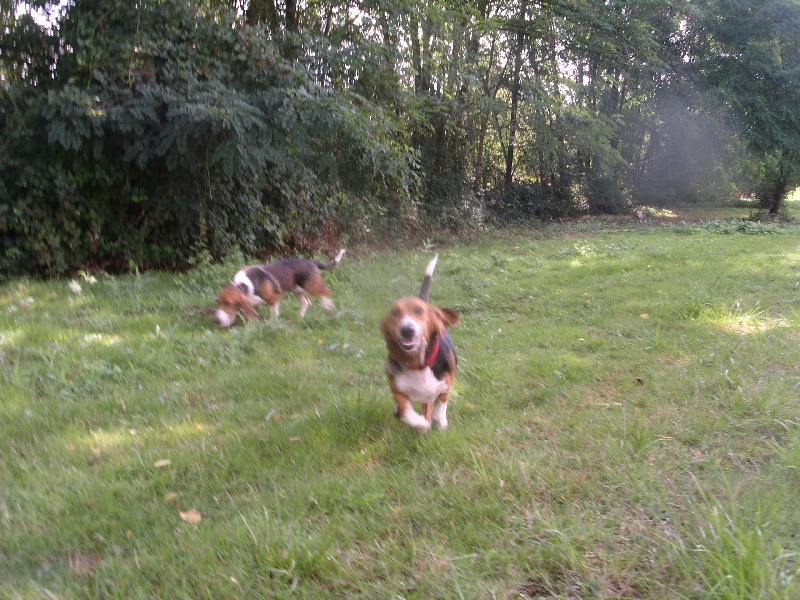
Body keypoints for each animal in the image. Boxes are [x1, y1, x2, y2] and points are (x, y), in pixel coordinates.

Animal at [214, 248, 346, 326]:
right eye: (219, 302)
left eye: (228, 303)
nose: (217, 320)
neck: (242, 286)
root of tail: (312, 262)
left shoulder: (274, 299)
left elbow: (274, 313)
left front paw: (271, 324)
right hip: (298, 290)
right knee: (306, 302)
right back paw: (300, 317)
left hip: (311, 287)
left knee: (327, 292)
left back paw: (328, 306)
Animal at [382, 255, 462, 434]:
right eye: (395, 313)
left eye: (419, 311)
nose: (407, 330)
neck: (418, 364)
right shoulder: (398, 389)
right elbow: (405, 410)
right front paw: (420, 424)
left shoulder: (443, 387)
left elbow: (440, 408)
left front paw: (440, 424)